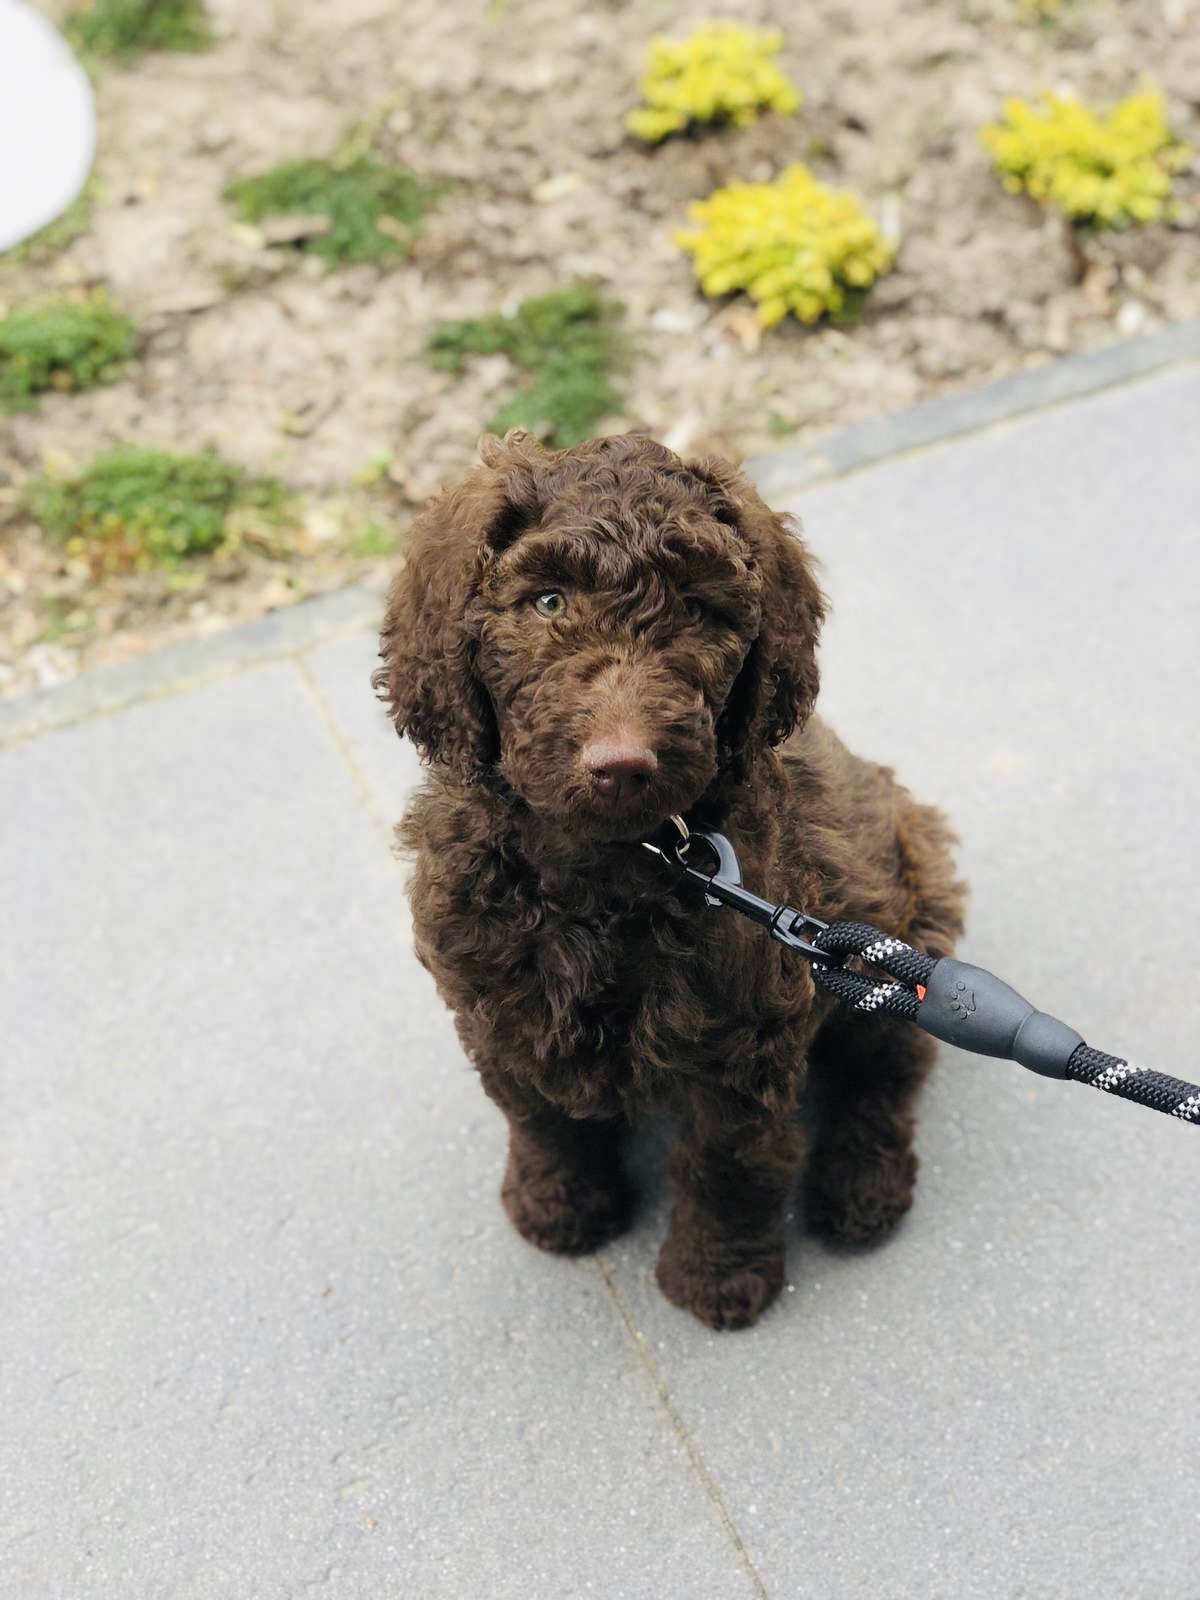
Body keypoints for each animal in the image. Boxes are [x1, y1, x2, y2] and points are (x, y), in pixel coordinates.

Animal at [376, 432, 966, 1331]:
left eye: (695, 608)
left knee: (889, 1063)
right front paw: (558, 1207)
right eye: (548, 602)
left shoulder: (744, 1042)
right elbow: (539, 1117)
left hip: (901, 905)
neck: (612, 867)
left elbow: (728, 1164)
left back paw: (862, 1185)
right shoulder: (497, 1005)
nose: (622, 764)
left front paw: (715, 1278)